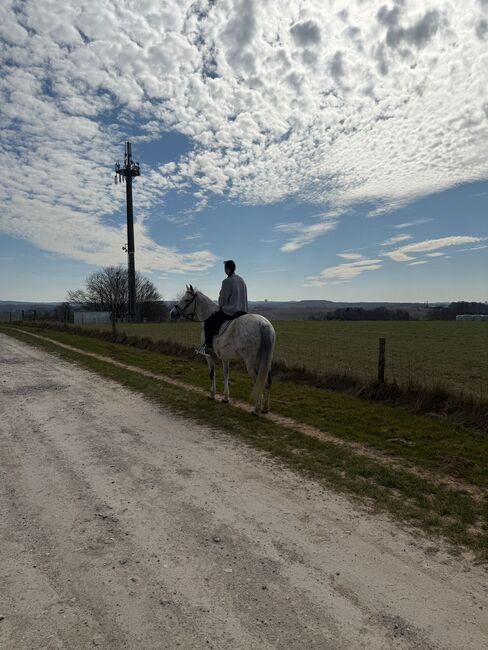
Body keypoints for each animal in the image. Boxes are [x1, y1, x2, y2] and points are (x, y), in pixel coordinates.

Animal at [169, 284, 274, 416]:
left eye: (186, 300)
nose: (172, 313)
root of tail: (263, 324)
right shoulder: (225, 357)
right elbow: (226, 375)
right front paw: (225, 397)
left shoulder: (209, 356)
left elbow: (212, 373)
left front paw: (212, 394)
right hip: (265, 361)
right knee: (267, 382)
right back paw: (265, 408)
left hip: (251, 362)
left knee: (259, 382)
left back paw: (256, 409)